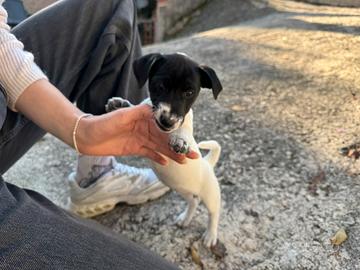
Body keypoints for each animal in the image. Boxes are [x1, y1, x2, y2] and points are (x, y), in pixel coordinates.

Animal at [105, 52, 222, 247]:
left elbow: (184, 128)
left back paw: (210, 235)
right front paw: (121, 105)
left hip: (211, 195)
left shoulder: (184, 124)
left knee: (214, 213)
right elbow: (140, 106)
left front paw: (180, 139)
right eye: (160, 86)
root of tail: (207, 163)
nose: (167, 121)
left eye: (189, 92)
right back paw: (185, 219)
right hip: (185, 191)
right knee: (194, 201)